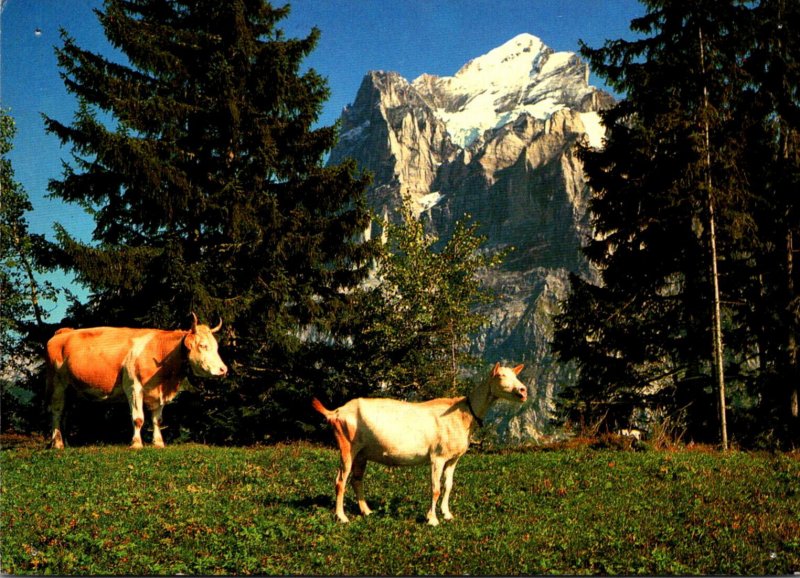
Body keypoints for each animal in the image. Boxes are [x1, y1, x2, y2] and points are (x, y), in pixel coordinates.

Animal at [45, 312, 227, 448]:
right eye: (203, 345)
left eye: (216, 347)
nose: (223, 370)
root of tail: (64, 332)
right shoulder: (134, 387)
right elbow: (138, 418)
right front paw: (136, 443)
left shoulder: (158, 393)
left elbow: (157, 419)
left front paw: (158, 443)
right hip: (57, 384)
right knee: (57, 411)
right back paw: (57, 444)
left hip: (72, 389)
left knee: (66, 412)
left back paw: (66, 443)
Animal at [310, 362, 524, 524]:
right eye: (501, 375)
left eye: (516, 374)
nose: (523, 391)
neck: (463, 413)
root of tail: (336, 412)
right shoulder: (437, 457)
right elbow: (435, 488)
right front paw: (432, 519)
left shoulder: (453, 459)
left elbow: (448, 485)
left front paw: (447, 514)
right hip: (347, 445)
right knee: (340, 480)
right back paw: (342, 517)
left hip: (362, 453)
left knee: (356, 479)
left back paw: (367, 511)